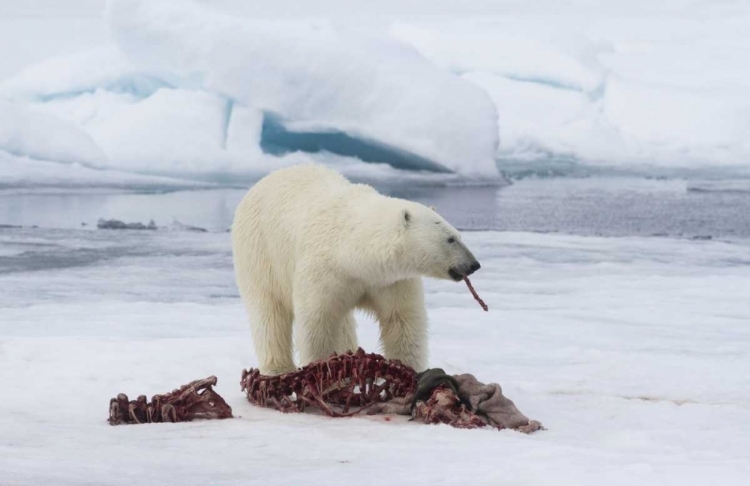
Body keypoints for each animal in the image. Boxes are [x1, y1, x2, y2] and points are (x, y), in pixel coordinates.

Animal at [232, 164, 484, 376]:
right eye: (450, 239)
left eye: (458, 235)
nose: (473, 264)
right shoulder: (322, 270)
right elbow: (317, 321)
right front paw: (322, 368)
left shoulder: (389, 280)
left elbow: (402, 319)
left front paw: (408, 369)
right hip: (259, 252)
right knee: (268, 312)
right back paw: (278, 368)